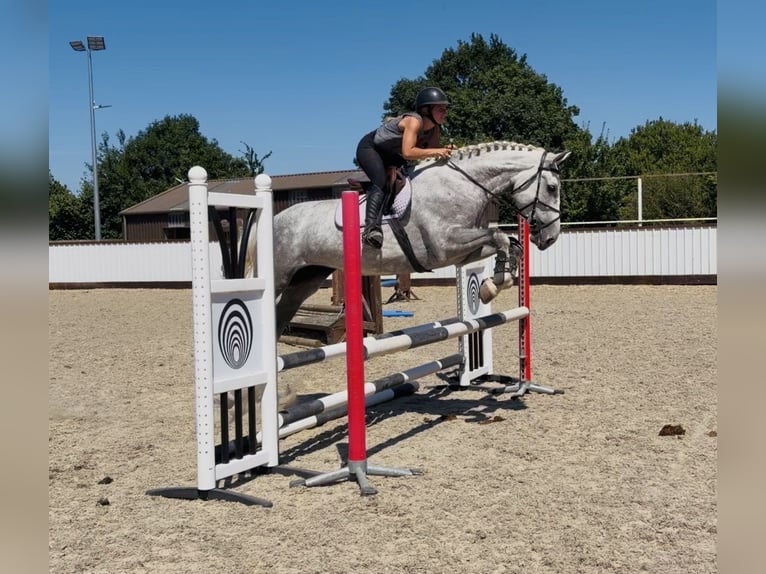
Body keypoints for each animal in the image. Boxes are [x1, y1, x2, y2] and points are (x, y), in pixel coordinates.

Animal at [247, 141, 571, 337]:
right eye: (552, 187)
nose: (551, 237)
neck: (461, 184)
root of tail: (273, 219)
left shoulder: (463, 252)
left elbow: (508, 243)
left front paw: (495, 283)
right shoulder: (444, 247)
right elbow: (500, 235)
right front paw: (493, 286)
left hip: (306, 280)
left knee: (280, 318)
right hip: (280, 275)